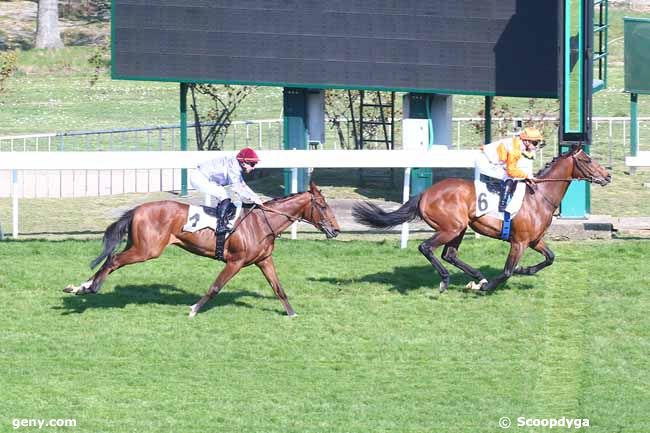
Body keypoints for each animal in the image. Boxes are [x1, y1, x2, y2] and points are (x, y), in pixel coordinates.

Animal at [63, 181, 342, 316]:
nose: (337, 229)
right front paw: (194, 309)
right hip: (147, 250)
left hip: (139, 245)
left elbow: (278, 288)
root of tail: (137, 209)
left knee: (110, 258)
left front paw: (292, 314)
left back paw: (81, 287)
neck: (262, 222)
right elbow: (215, 287)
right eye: (323, 206)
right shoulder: (235, 262)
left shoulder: (264, 260)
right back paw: (91, 289)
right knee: (113, 260)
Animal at [352, 146, 612, 294]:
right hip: (451, 227)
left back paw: (476, 277)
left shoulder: (534, 240)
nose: (608, 176)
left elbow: (550, 258)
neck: (540, 197)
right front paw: (489, 286)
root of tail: (425, 193)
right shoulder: (519, 242)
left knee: (450, 254)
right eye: (588, 160)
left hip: (458, 229)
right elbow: (507, 271)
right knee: (426, 247)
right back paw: (447, 280)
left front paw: (526, 269)